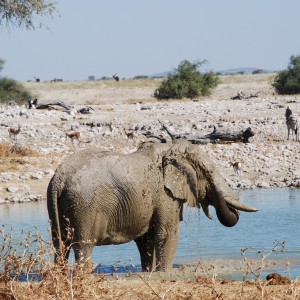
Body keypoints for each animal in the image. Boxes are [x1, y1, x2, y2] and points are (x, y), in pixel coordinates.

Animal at [47, 141, 258, 272]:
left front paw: (150, 272)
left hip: (56, 204)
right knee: (83, 246)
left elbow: (146, 240)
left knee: (60, 245)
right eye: (208, 173)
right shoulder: (165, 195)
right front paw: (164, 273)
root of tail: (59, 178)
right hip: (86, 207)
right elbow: (167, 234)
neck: (170, 148)